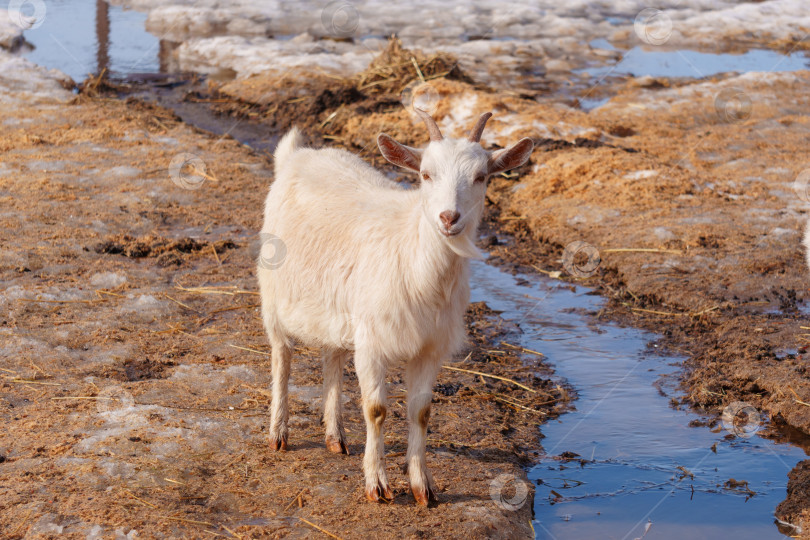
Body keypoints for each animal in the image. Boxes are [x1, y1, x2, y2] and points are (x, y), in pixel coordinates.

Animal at [258, 110, 532, 506]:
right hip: (274, 295)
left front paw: (423, 487)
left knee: (331, 357)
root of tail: (297, 155)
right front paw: (377, 484)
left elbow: (421, 413)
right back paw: (278, 433)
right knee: (282, 358)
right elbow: (376, 410)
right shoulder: (373, 342)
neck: (412, 253)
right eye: (425, 174)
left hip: (337, 307)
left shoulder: (429, 348)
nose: (449, 218)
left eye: (482, 176)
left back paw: (335, 436)